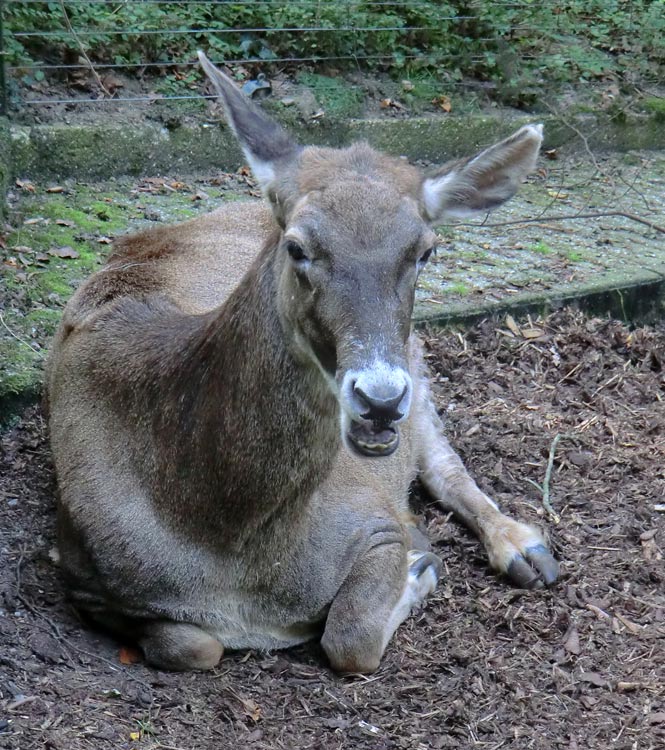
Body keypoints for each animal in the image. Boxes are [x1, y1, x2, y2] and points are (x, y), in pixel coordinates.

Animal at [44, 53, 556, 676]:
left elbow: (350, 638)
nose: (379, 400)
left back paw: (523, 547)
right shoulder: (81, 574)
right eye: (297, 246)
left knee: (440, 453)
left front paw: (419, 568)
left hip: (415, 359)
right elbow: (191, 644)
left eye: (426, 251)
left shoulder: (375, 521)